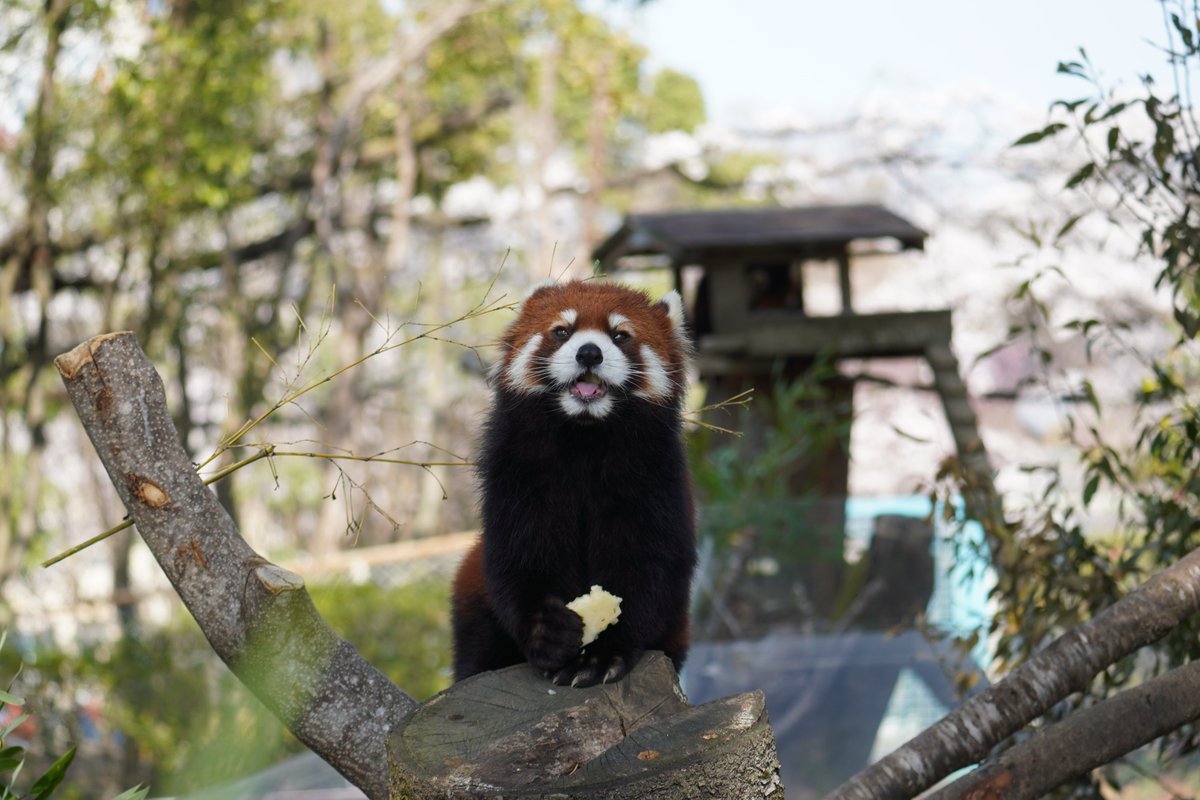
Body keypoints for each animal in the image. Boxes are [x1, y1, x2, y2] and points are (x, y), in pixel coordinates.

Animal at [451, 281, 700, 690]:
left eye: (620, 335)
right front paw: (546, 631)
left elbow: (645, 562)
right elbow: (521, 553)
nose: (589, 352)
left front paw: (604, 653)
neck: (584, 436)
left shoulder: (654, 480)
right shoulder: (519, 476)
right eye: (562, 331)